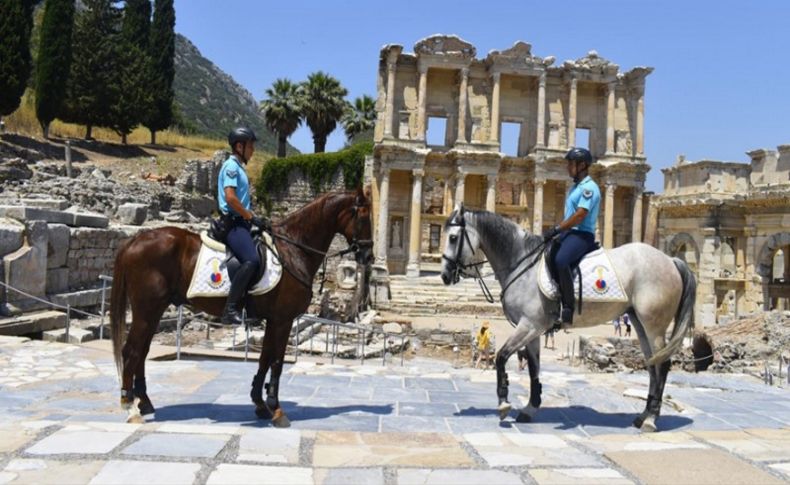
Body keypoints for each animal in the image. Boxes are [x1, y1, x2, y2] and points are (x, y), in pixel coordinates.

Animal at [110, 188, 376, 424]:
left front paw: (260, 404)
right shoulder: (284, 319)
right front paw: (276, 409)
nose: (369, 256)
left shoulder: (273, 319)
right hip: (146, 310)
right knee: (131, 351)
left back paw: (144, 402)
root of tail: (135, 239)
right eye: (363, 215)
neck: (294, 249)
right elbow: (277, 362)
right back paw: (129, 406)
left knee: (142, 351)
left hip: (154, 311)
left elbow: (264, 358)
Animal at [442, 204, 696, 432]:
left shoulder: (529, 325)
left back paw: (652, 419)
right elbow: (533, 368)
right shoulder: (533, 329)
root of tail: (671, 260)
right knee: (652, 364)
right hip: (639, 322)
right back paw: (643, 416)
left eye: (453, 238)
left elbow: (501, 357)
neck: (522, 264)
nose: (445, 275)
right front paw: (530, 407)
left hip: (654, 325)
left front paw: (504, 403)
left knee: (663, 364)